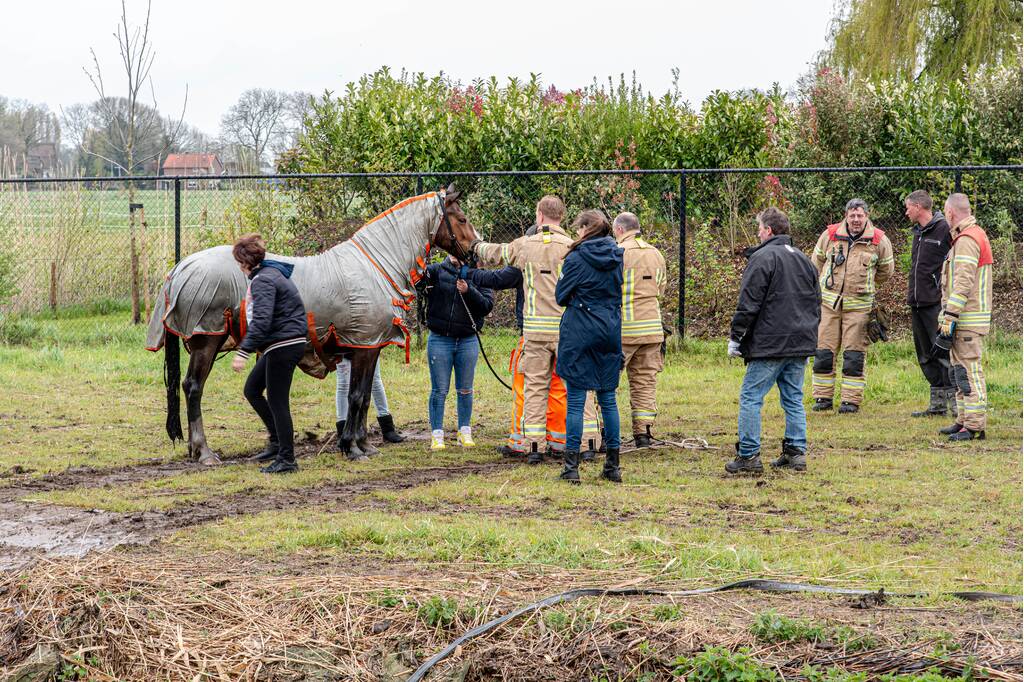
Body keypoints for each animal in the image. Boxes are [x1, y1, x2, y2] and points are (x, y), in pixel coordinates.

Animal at [145, 185, 478, 465]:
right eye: (461, 218)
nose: (475, 252)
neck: (375, 266)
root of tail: (179, 268)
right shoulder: (364, 347)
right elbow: (356, 396)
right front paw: (352, 447)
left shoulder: (369, 346)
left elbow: (365, 397)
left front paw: (363, 444)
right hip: (208, 340)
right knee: (193, 388)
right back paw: (203, 451)